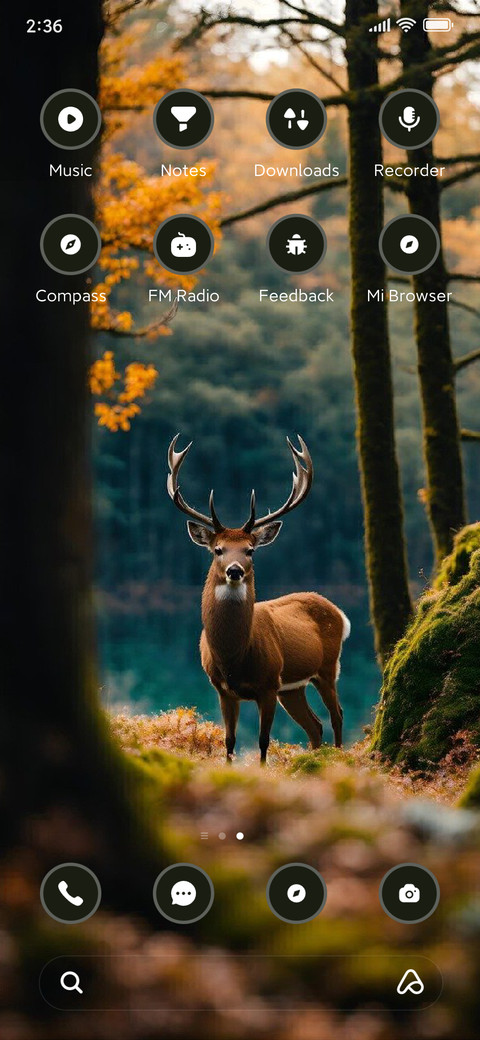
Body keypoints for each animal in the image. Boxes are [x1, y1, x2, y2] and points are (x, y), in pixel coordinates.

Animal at [167, 435, 350, 765]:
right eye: (218, 549)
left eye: (250, 550)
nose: (235, 570)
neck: (233, 657)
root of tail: (340, 613)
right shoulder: (223, 689)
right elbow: (229, 740)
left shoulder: (267, 685)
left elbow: (264, 741)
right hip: (292, 687)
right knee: (315, 725)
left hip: (327, 667)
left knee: (336, 715)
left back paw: (339, 759)